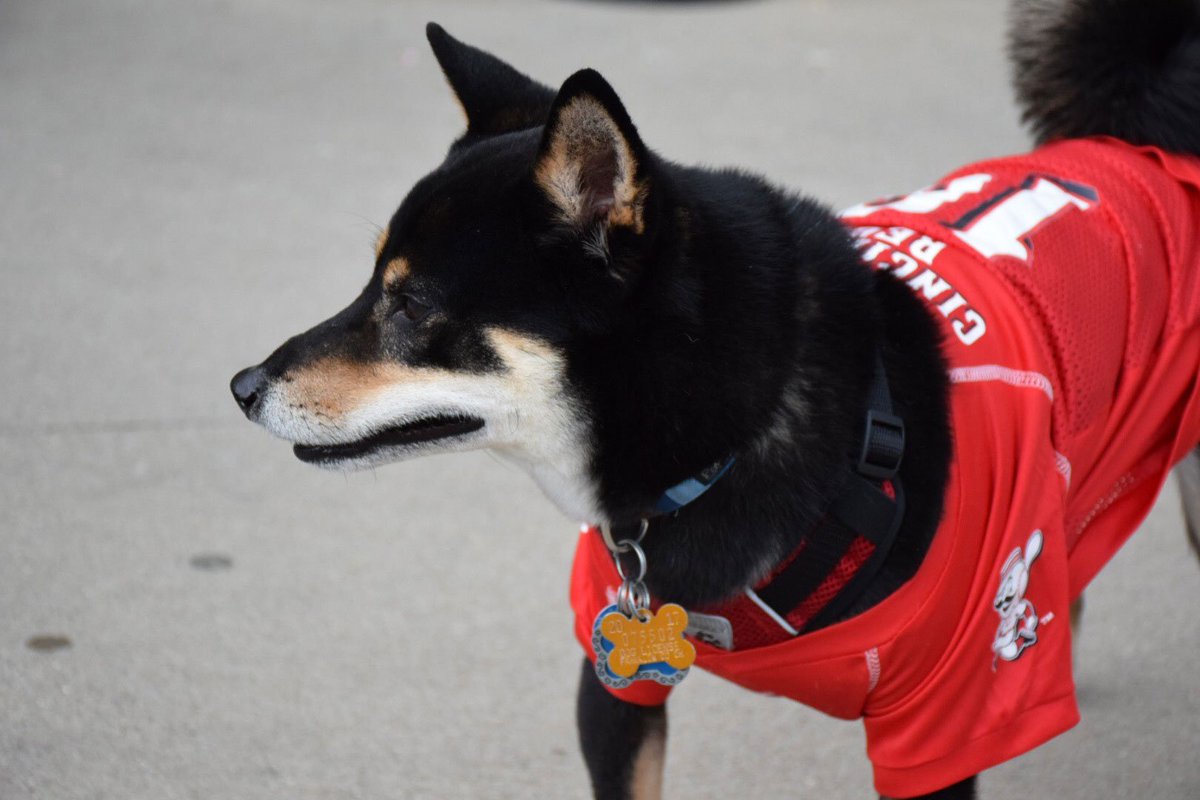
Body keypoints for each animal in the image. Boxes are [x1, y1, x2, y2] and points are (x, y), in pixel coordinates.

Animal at [231, 3, 1200, 796]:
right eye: (372, 285)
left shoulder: (940, 723)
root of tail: (1134, 139)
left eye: (412, 305)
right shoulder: (616, 673)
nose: (242, 387)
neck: (725, 447)